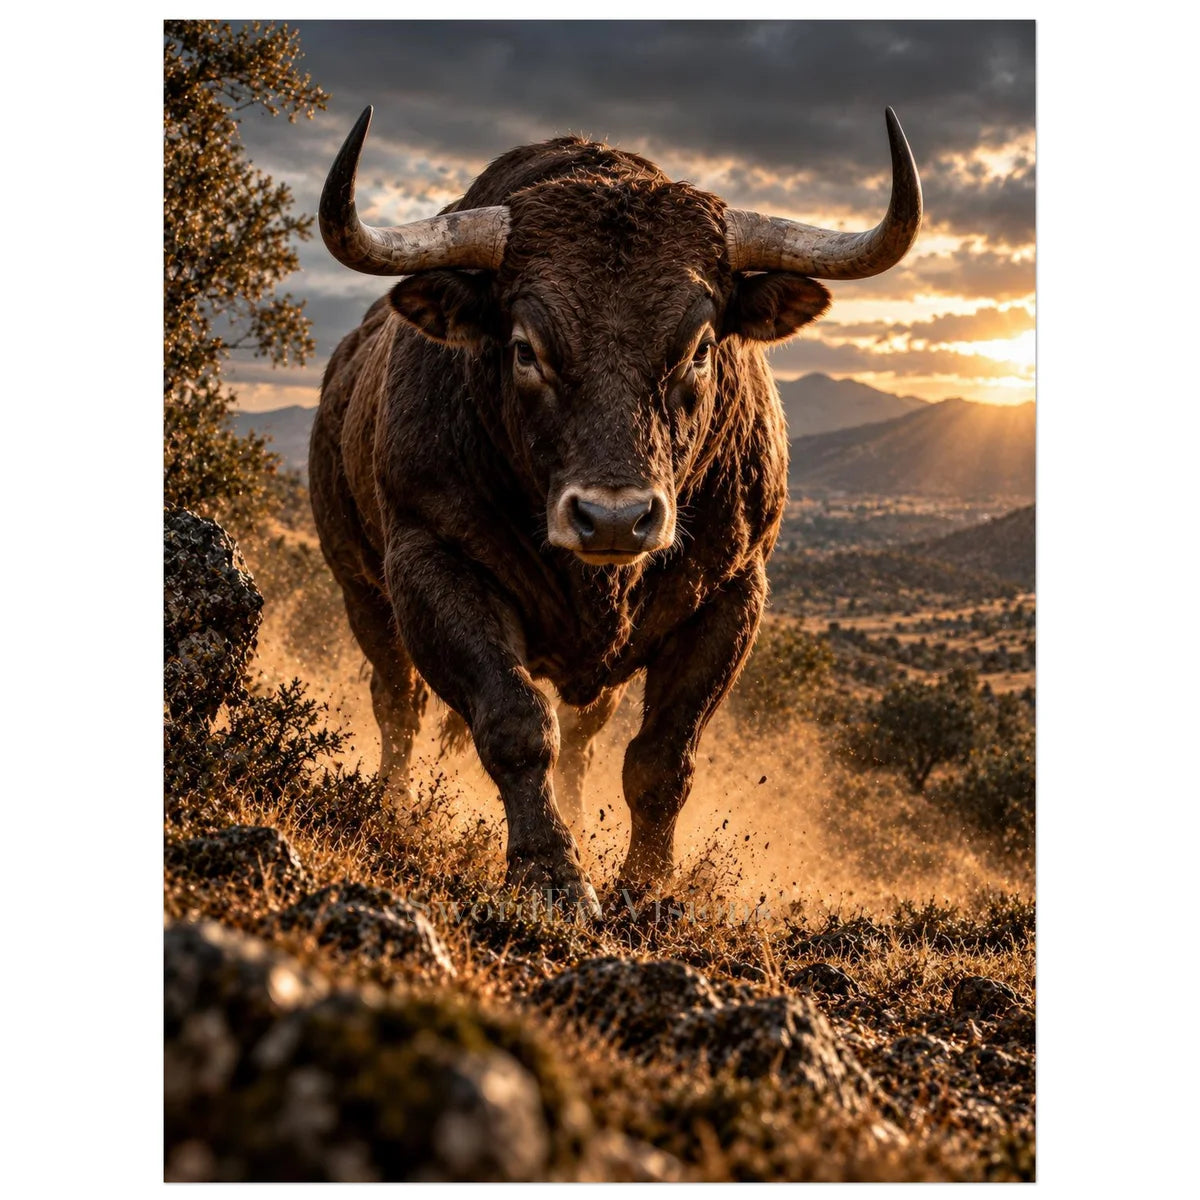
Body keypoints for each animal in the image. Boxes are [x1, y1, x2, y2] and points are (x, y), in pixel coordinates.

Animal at [310, 106, 921, 916]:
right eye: (525, 349)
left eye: (699, 348)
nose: (612, 519)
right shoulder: (430, 563)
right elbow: (513, 722)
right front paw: (552, 872)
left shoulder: (731, 595)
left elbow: (661, 759)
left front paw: (648, 886)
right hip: (361, 588)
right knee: (399, 702)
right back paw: (395, 804)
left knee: (582, 736)